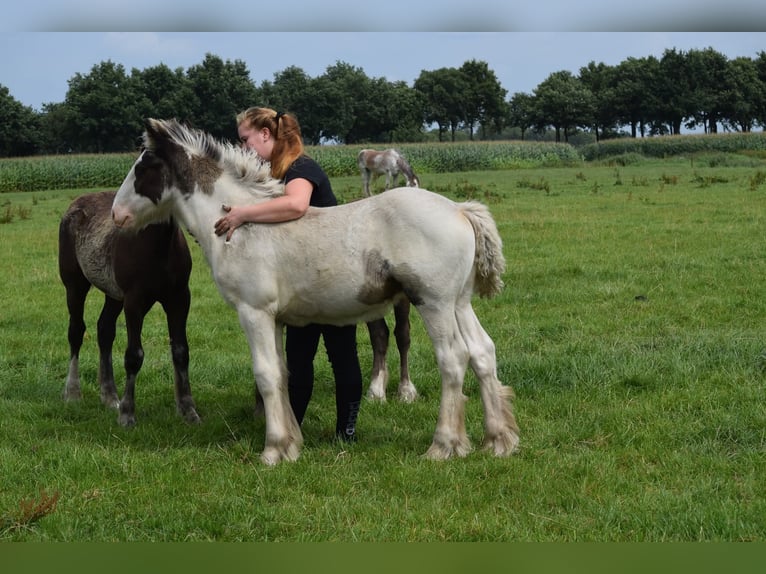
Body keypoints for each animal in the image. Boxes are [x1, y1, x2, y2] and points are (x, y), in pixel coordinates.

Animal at [59, 190, 200, 427]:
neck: (158, 244)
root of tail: (76, 203)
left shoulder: (179, 298)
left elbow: (181, 351)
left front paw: (187, 409)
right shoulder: (134, 301)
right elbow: (134, 355)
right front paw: (127, 414)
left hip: (114, 296)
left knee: (105, 330)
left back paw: (109, 395)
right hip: (75, 286)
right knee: (76, 332)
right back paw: (72, 393)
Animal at [111, 118, 519, 465]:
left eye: (144, 166)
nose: (116, 214)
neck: (241, 225)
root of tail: (460, 210)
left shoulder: (253, 311)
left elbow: (265, 375)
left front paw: (273, 450)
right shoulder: (276, 319)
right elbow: (284, 372)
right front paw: (292, 443)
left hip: (433, 303)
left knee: (453, 359)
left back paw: (444, 445)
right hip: (459, 303)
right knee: (483, 352)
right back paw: (498, 440)